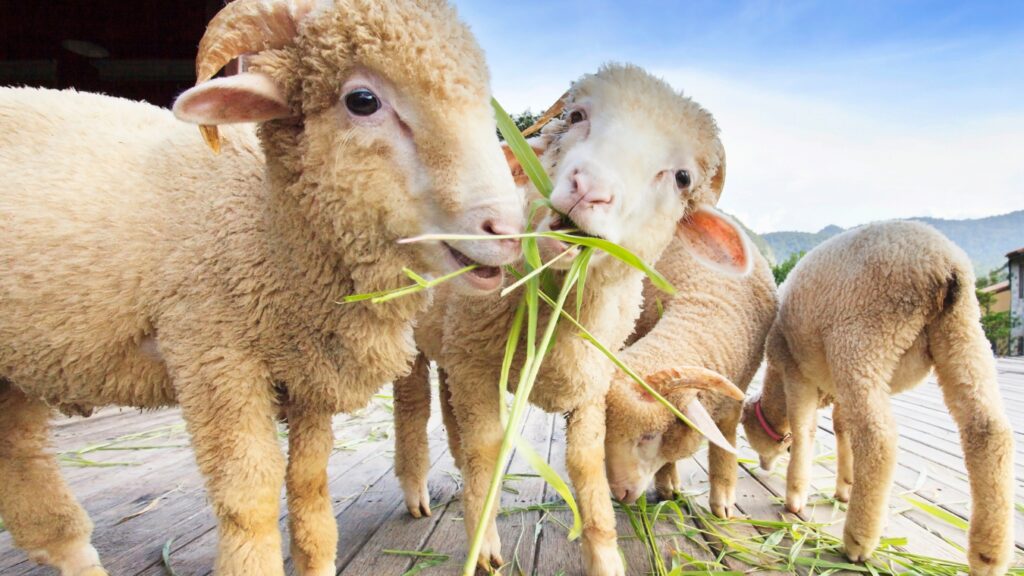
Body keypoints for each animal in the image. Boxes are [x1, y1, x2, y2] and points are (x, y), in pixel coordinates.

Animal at [0, 2, 524, 569]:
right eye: (362, 100)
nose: (508, 230)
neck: (263, 229)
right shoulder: (213, 358)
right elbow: (249, 496)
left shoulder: (308, 369)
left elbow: (310, 483)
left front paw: (317, 561)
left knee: (21, 462)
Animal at [391, 63, 753, 573]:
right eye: (577, 115)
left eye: (683, 177)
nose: (590, 190)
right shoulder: (479, 369)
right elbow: (487, 450)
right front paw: (484, 542)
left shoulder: (589, 382)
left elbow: (585, 464)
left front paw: (605, 556)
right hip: (415, 336)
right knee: (412, 409)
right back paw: (416, 491)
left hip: (453, 346)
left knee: (446, 403)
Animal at [598, 231, 774, 516]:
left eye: (649, 436)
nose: (620, 494)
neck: (706, 301)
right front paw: (667, 485)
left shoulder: (734, 395)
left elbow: (724, 443)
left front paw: (723, 501)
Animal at [737, 220, 1015, 573]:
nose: (763, 466)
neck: (777, 389)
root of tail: (942, 264)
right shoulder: (836, 386)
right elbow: (842, 427)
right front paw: (845, 486)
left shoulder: (796, 370)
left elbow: (804, 430)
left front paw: (795, 496)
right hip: (962, 333)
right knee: (989, 431)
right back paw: (989, 556)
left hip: (862, 341)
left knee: (877, 439)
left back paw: (858, 541)